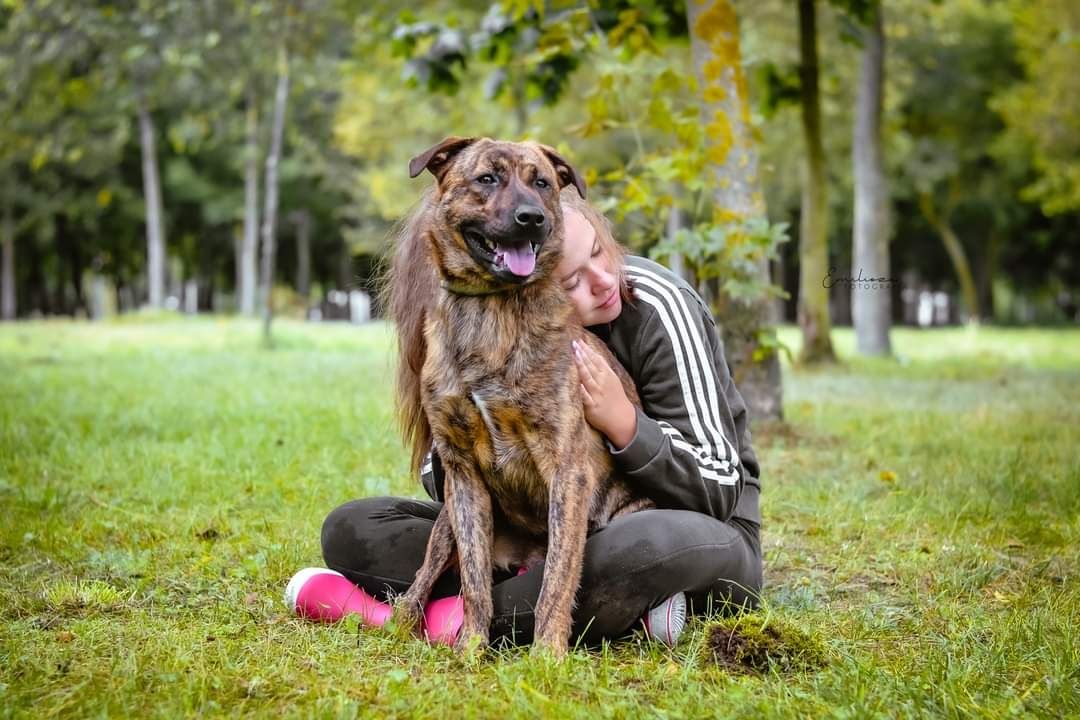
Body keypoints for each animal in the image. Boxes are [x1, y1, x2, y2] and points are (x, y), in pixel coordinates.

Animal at [388, 138, 656, 656]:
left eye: (542, 183)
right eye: (487, 179)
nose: (531, 217)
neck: (491, 309)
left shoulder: (566, 469)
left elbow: (557, 579)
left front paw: (547, 655)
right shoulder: (461, 472)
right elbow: (474, 583)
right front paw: (471, 647)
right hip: (447, 520)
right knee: (430, 571)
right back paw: (401, 617)